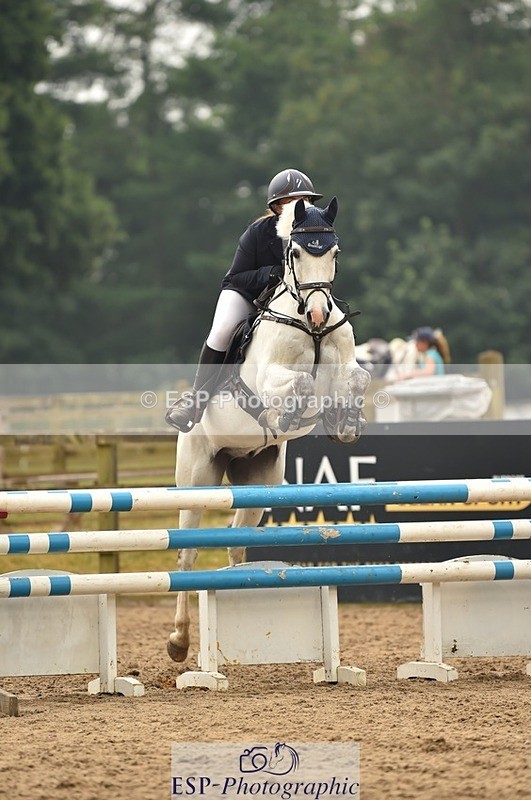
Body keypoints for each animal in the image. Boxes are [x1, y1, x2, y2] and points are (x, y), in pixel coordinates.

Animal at [167, 197, 371, 662]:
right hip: (197, 478)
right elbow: (296, 387)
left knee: (235, 540)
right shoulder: (269, 379)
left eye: (334, 252)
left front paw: (345, 423)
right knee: (186, 554)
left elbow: (358, 378)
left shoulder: (345, 365)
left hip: (259, 482)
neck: (310, 327)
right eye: (294, 254)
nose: (318, 313)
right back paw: (179, 642)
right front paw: (286, 418)